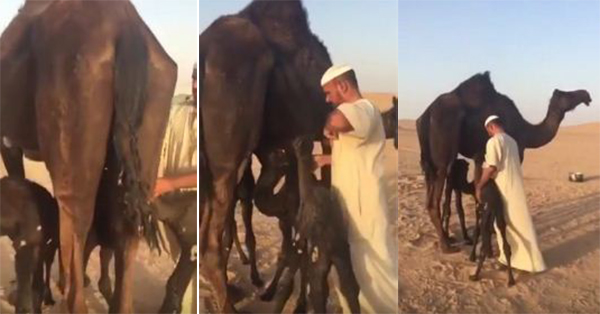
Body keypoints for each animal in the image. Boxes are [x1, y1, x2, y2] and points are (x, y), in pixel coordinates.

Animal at [418, 72, 592, 253]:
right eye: (568, 95)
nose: (586, 94)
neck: (526, 132)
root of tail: (426, 115)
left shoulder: (480, 156)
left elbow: (481, 196)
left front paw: (485, 237)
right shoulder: (513, 154)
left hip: (429, 163)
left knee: (431, 194)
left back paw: (449, 239)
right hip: (443, 152)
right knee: (434, 198)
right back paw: (446, 246)